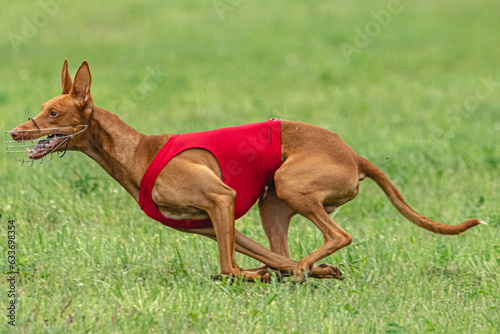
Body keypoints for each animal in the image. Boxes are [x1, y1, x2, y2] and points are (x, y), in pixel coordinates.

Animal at [8, 60, 484, 282]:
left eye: (53, 112)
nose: (14, 131)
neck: (138, 151)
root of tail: (354, 155)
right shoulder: (215, 223)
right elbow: (268, 260)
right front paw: (296, 272)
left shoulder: (221, 200)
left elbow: (228, 268)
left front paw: (261, 275)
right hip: (272, 204)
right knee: (291, 252)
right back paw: (311, 269)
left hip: (291, 185)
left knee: (339, 236)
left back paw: (309, 266)